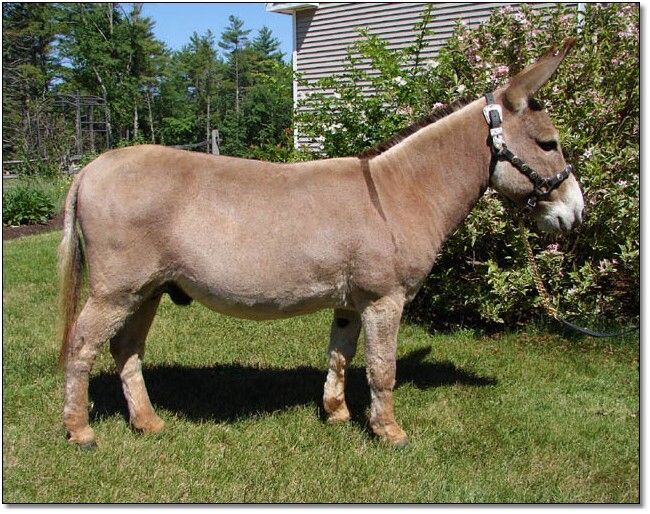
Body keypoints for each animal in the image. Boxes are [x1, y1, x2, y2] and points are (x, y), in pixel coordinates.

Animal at [58, 39, 583, 449]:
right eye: (549, 144)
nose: (576, 214)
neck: (397, 193)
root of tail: (90, 167)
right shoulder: (385, 299)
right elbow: (382, 369)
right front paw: (389, 432)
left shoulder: (352, 300)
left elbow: (340, 353)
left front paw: (336, 413)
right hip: (116, 290)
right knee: (81, 346)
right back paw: (80, 432)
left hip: (147, 290)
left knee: (125, 348)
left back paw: (147, 423)